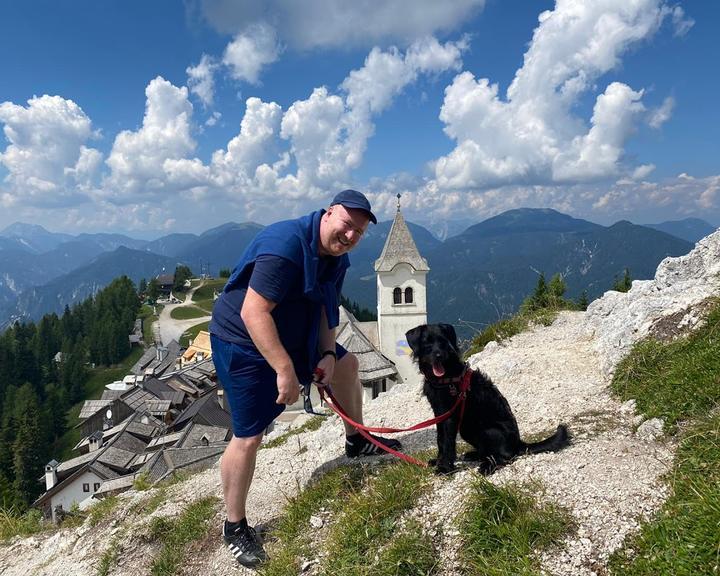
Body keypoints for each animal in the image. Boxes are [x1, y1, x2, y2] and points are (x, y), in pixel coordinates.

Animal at [404, 324, 568, 472]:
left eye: (444, 341)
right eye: (427, 342)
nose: (439, 356)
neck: (446, 377)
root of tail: (518, 443)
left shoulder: (450, 416)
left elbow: (447, 441)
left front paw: (444, 467)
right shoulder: (439, 414)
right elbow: (440, 439)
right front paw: (438, 461)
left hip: (487, 431)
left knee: (505, 456)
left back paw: (487, 467)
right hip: (467, 429)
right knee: (487, 452)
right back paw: (474, 455)